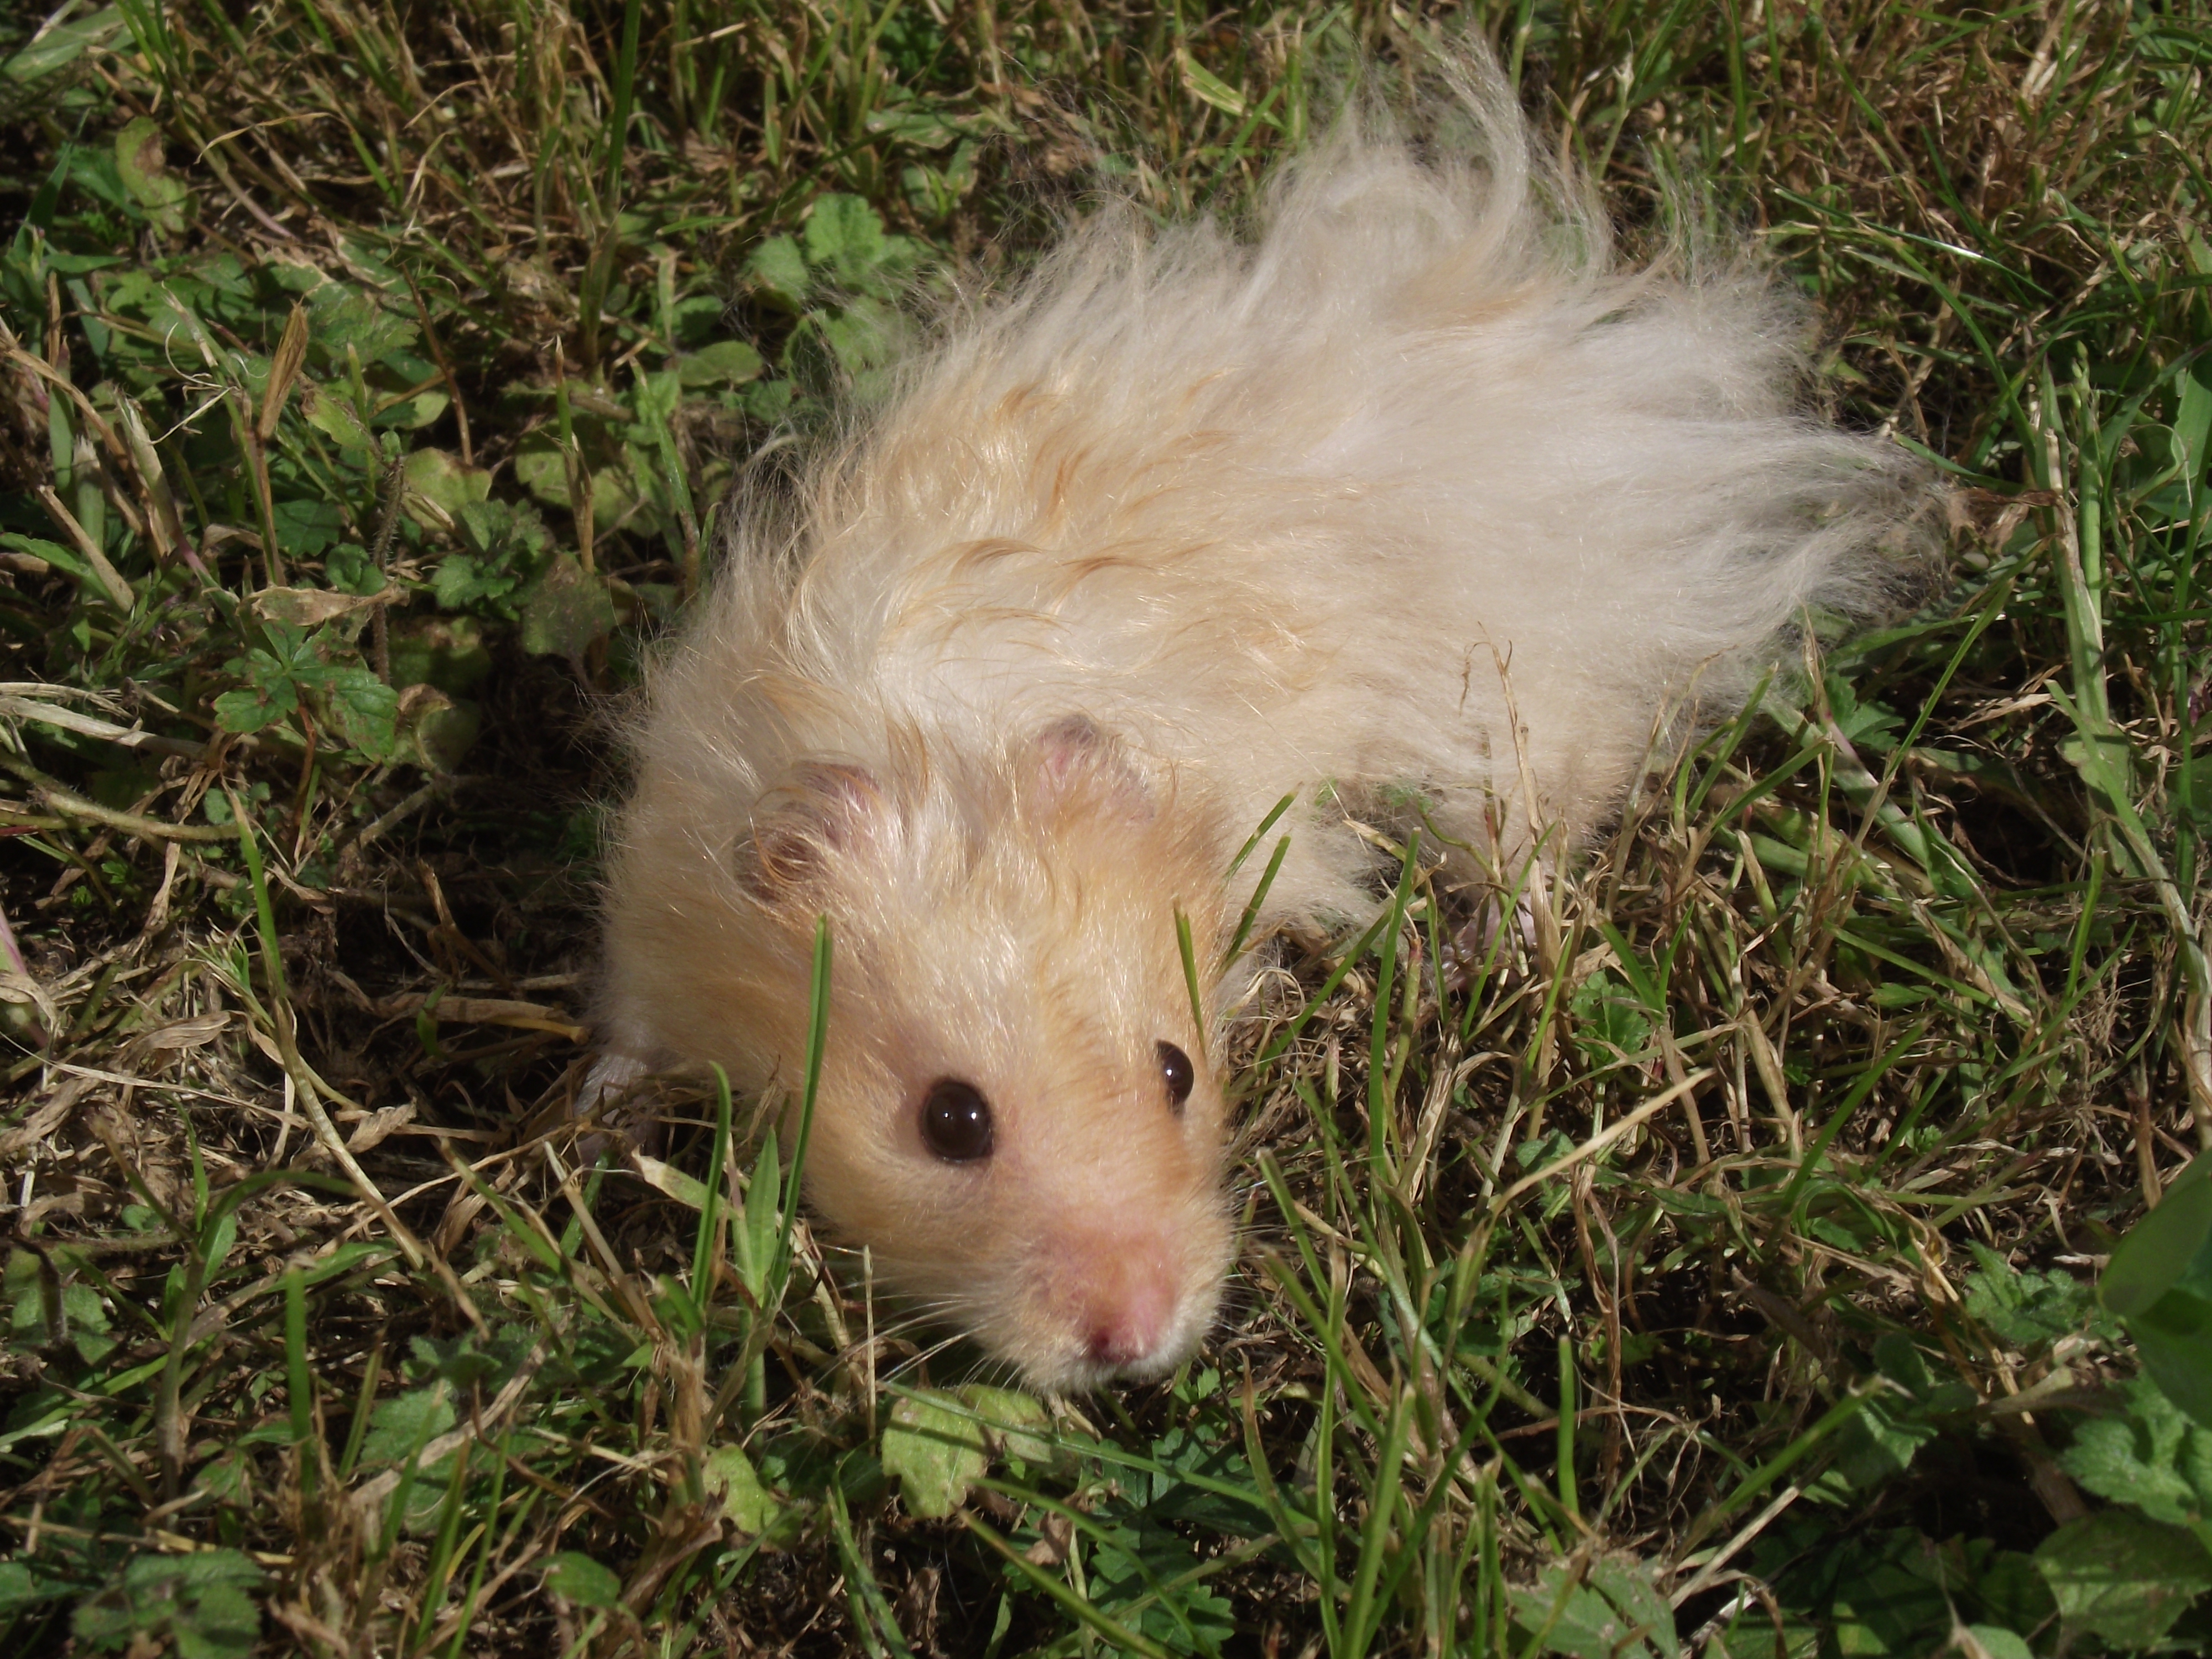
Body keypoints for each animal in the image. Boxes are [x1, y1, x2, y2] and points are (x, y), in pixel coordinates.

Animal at [598, 54, 1936, 1392]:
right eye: (949, 1121)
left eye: (1177, 1071)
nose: (1137, 1342)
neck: (941, 740)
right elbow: (630, 1031)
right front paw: (595, 1120)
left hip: (1516, 721)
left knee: (1538, 850)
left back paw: (1468, 952)